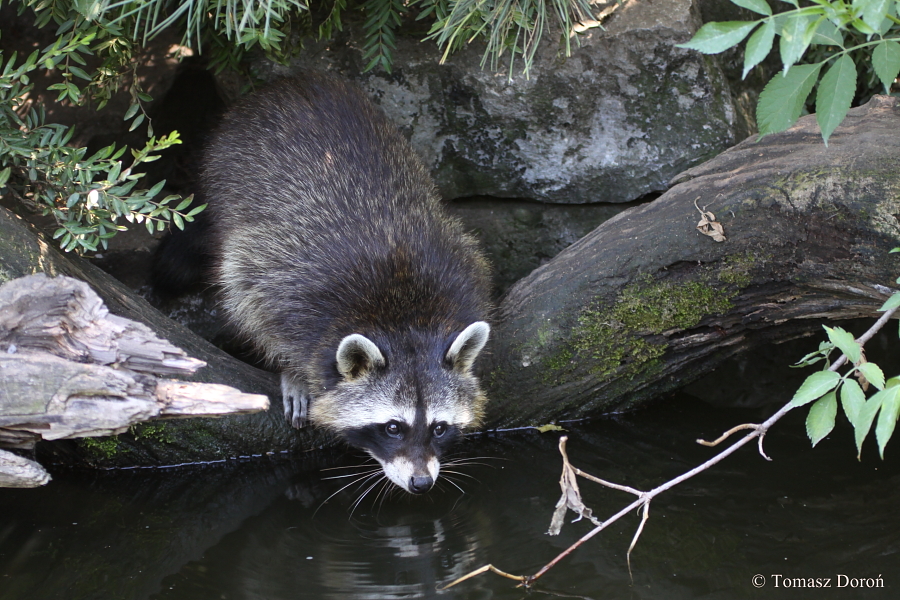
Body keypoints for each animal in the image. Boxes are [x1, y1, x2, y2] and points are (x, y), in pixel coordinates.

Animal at [202, 73, 493, 494]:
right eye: (393, 427)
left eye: (439, 428)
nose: (421, 483)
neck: (402, 314)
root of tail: (290, 82)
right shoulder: (286, 281)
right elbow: (253, 299)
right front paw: (292, 370)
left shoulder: (460, 270)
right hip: (225, 170)